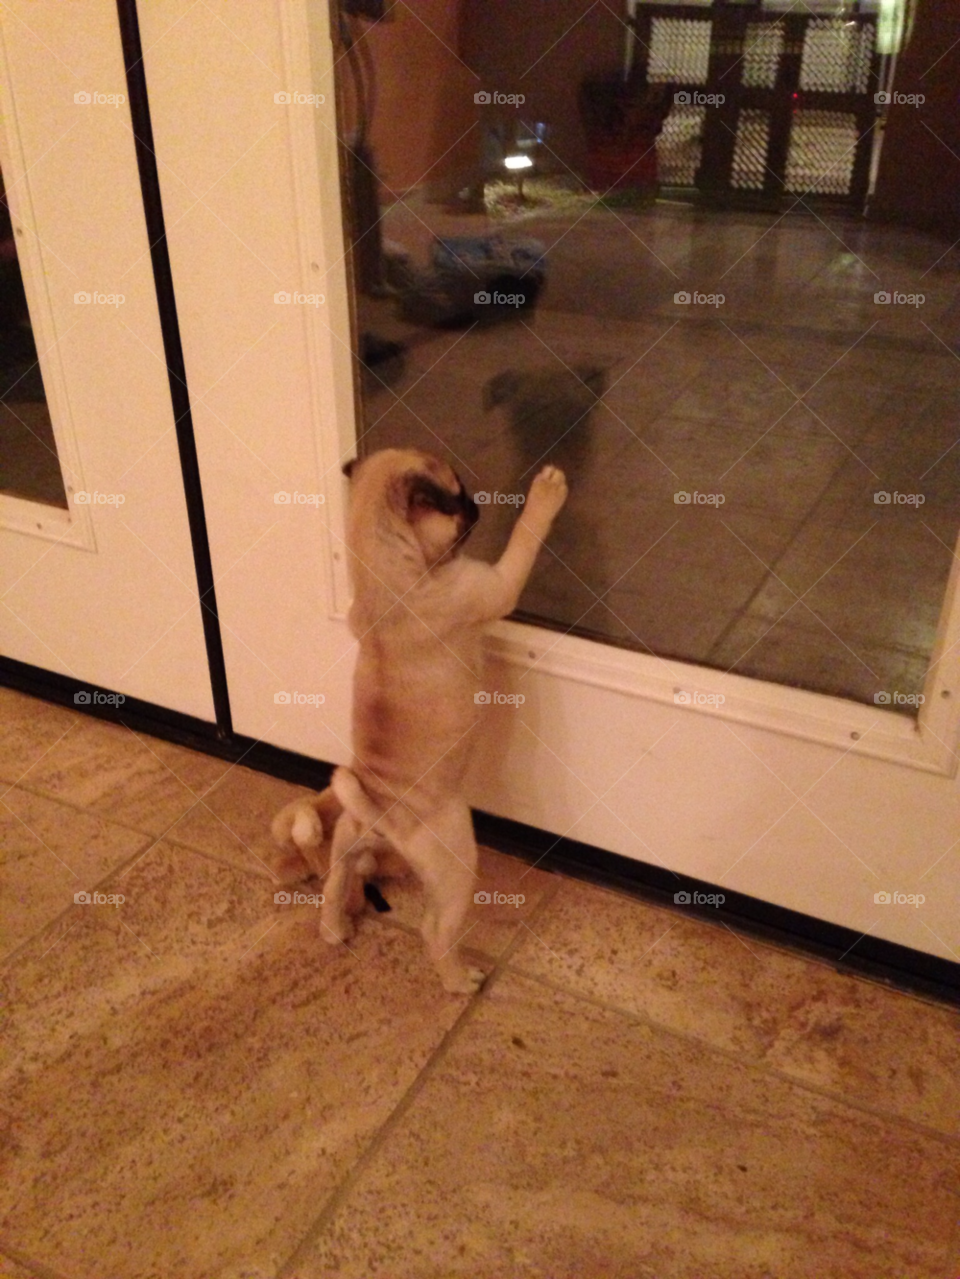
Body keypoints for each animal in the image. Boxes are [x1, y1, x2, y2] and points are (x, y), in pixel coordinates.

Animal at [296, 450, 562, 997]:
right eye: (456, 497)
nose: (478, 503)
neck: (383, 571)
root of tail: (380, 812)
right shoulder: (493, 585)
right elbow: (525, 537)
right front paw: (546, 494)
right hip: (458, 864)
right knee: (436, 931)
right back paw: (461, 979)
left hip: (346, 842)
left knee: (334, 885)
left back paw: (333, 929)